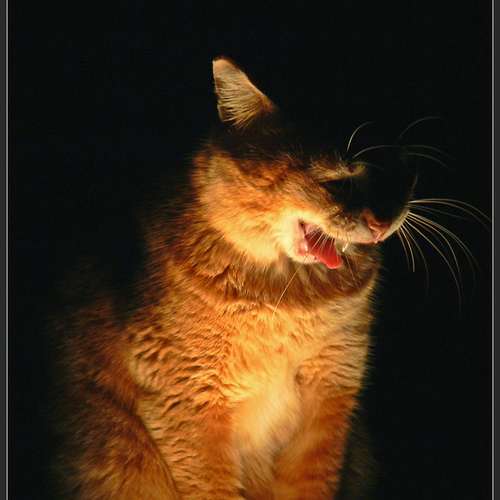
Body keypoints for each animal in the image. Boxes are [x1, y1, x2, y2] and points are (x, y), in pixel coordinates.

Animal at [51, 57, 416, 499]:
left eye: (403, 174)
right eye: (337, 181)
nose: (383, 224)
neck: (291, 301)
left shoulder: (331, 398)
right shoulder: (190, 410)